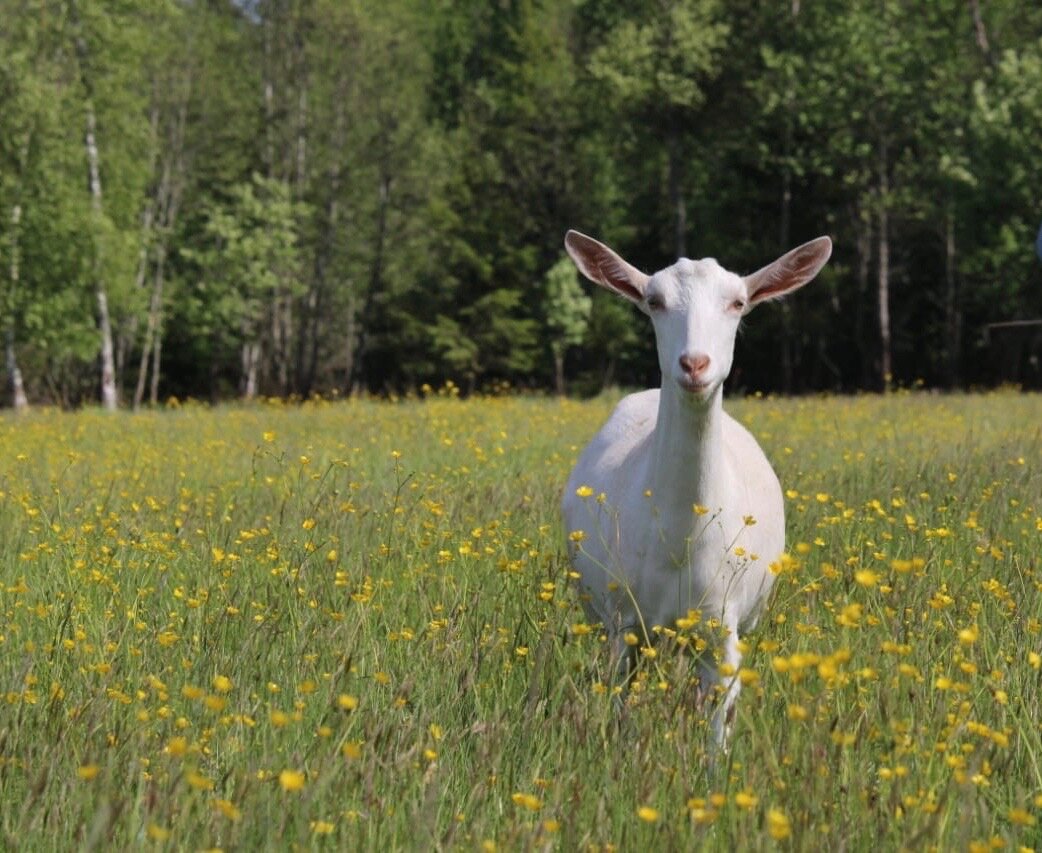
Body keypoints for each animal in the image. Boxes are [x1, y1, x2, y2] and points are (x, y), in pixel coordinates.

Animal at [562, 230, 829, 745]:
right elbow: (621, 703)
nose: (694, 364)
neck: (678, 538)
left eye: (738, 302)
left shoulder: (723, 625)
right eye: (654, 300)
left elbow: (719, 720)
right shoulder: (624, 624)